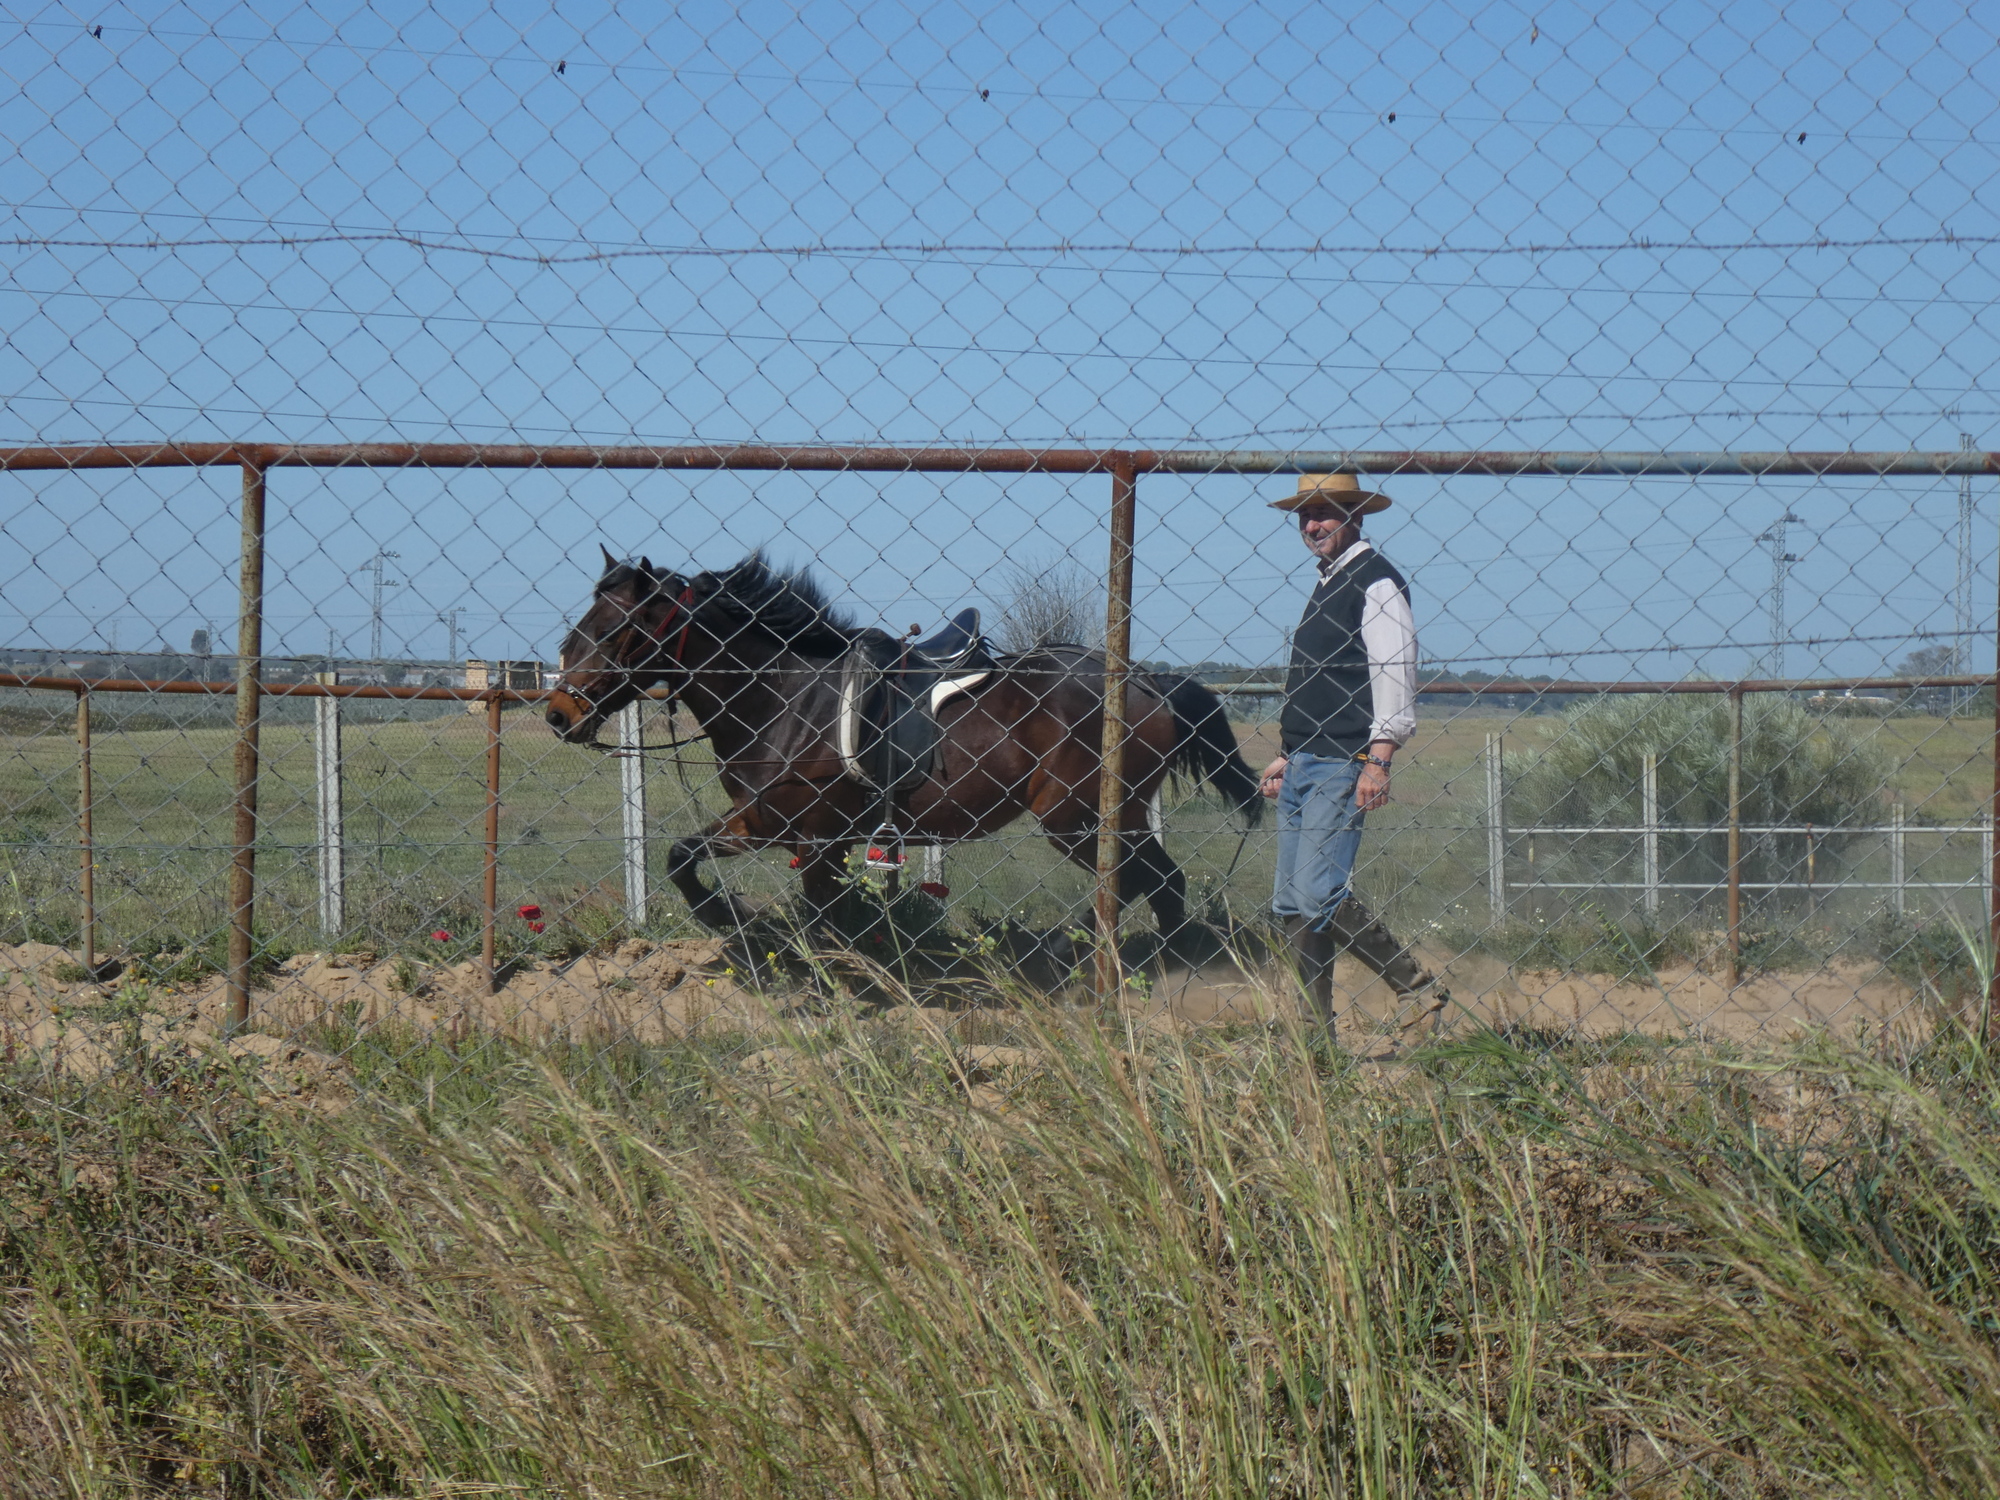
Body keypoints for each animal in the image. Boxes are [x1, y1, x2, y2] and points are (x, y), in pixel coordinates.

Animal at [544, 550, 1261, 952]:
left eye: (613, 630)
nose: (558, 714)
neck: (786, 696)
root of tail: (1146, 681)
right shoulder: (763, 823)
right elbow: (681, 856)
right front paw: (722, 912)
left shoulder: (816, 835)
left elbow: (823, 919)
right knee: (1162, 885)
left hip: (1081, 819)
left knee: (1155, 882)